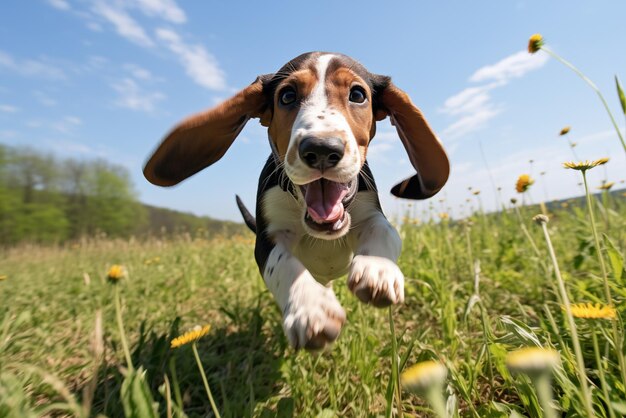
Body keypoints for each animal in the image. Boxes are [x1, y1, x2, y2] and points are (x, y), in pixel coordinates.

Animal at [144, 53, 446, 352]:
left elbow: (382, 232)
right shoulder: (267, 239)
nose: (321, 149)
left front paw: (378, 270)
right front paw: (311, 311)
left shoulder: (371, 213)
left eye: (358, 94)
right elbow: (285, 265)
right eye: (287, 96)